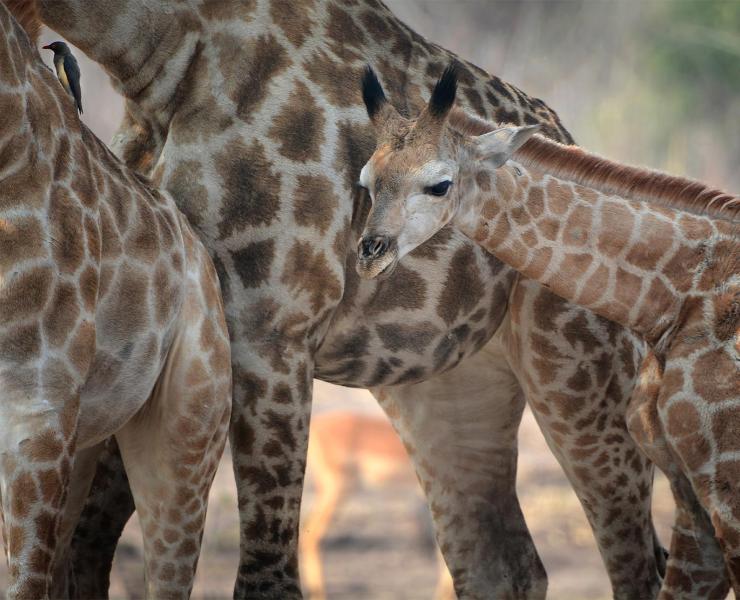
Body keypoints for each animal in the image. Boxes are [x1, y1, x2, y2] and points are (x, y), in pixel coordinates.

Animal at [355, 64, 739, 599]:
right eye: (367, 180)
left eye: (440, 185)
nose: (370, 253)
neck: (680, 288)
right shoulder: (690, 488)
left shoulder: (725, 481)